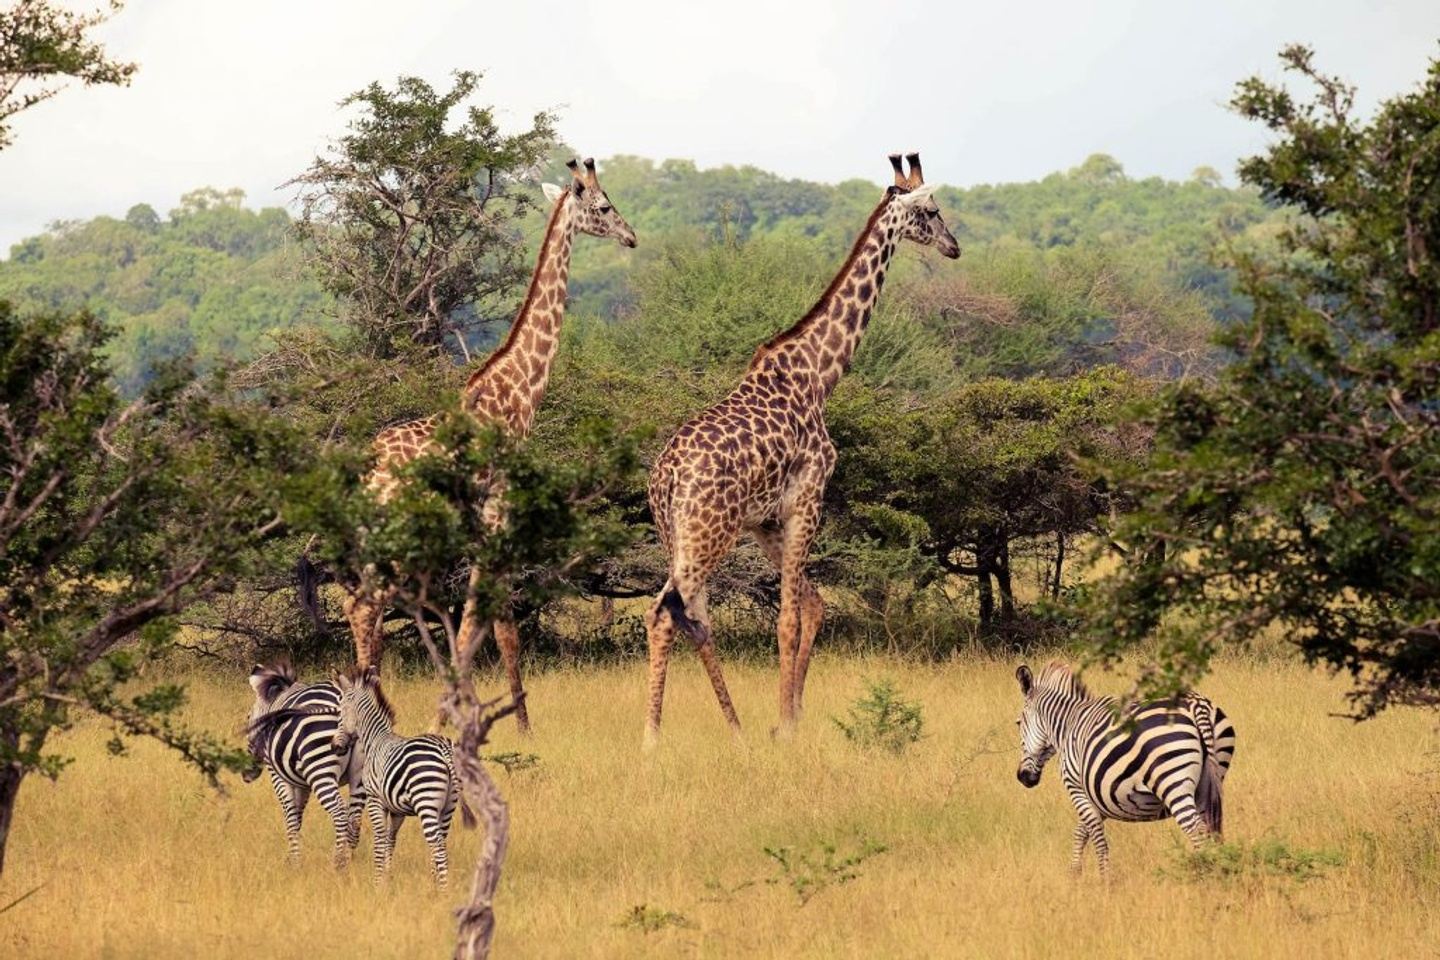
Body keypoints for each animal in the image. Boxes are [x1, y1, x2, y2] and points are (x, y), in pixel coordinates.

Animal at [244, 662, 365, 869]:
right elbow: (298, 815)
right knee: (354, 817)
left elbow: (290, 815)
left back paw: (338, 862)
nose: (246, 774)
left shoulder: (278, 776)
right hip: (359, 774)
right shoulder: (302, 783)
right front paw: (293, 855)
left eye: (249, 717)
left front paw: (293, 860)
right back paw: (351, 860)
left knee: (340, 813)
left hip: (320, 771)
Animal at [328, 664, 472, 892]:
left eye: (340, 713)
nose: (335, 746)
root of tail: (444, 749)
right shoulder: (397, 810)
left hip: (426, 800)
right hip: (449, 803)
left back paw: (442, 890)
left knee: (437, 845)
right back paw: (433, 884)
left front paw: (378, 882)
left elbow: (379, 838)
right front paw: (387, 876)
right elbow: (390, 840)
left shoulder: (375, 799)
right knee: (442, 841)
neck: (375, 739)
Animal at [342, 157, 636, 736]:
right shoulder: (500, 512)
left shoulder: (483, 526)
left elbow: (482, 626)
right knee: (366, 608)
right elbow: (493, 626)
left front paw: (483, 715)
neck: (519, 387)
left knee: (359, 609)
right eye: (604, 206)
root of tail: (368, 471)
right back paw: (376, 718)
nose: (632, 237)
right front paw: (492, 723)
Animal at [642, 151, 956, 748]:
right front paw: (786, 724)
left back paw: (733, 726)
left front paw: (788, 715)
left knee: (689, 614)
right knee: (666, 612)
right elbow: (787, 618)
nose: (955, 246)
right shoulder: (807, 496)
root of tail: (665, 477)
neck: (820, 373)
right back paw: (654, 734)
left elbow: (811, 604)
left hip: (679, 534)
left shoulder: (766, 519)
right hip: (707, 533)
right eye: (931, 210)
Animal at [1013, 662, 1238, 880]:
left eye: (1018, 723)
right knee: (1210, 828)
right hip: (1209, 782)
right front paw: (1075, 874)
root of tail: (1196, 704)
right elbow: (1081, 832)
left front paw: (1105, 881)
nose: (1023, 777)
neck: (1068, 724)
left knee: (1195, 828)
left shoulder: (1077, 788)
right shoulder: (1099, 795)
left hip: (1173, 781)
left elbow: (1097, 837)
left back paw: (1202, 875)